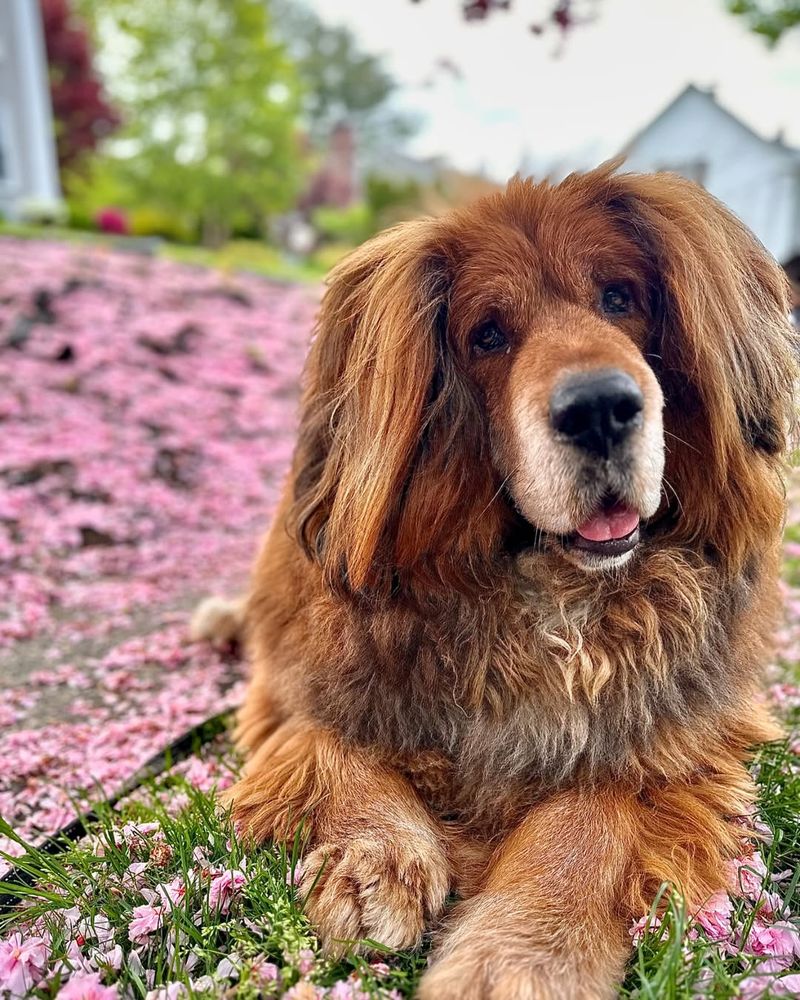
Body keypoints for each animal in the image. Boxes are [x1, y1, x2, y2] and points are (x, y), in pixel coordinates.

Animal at [220, 168, 800, 996]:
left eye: (620, 298)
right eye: (489, 335)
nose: (599, 409)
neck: (549, 600)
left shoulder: (677, 737)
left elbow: (589, 815)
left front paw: (523, 953)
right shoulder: (299, 685)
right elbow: (329, 741)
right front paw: (373, 858)